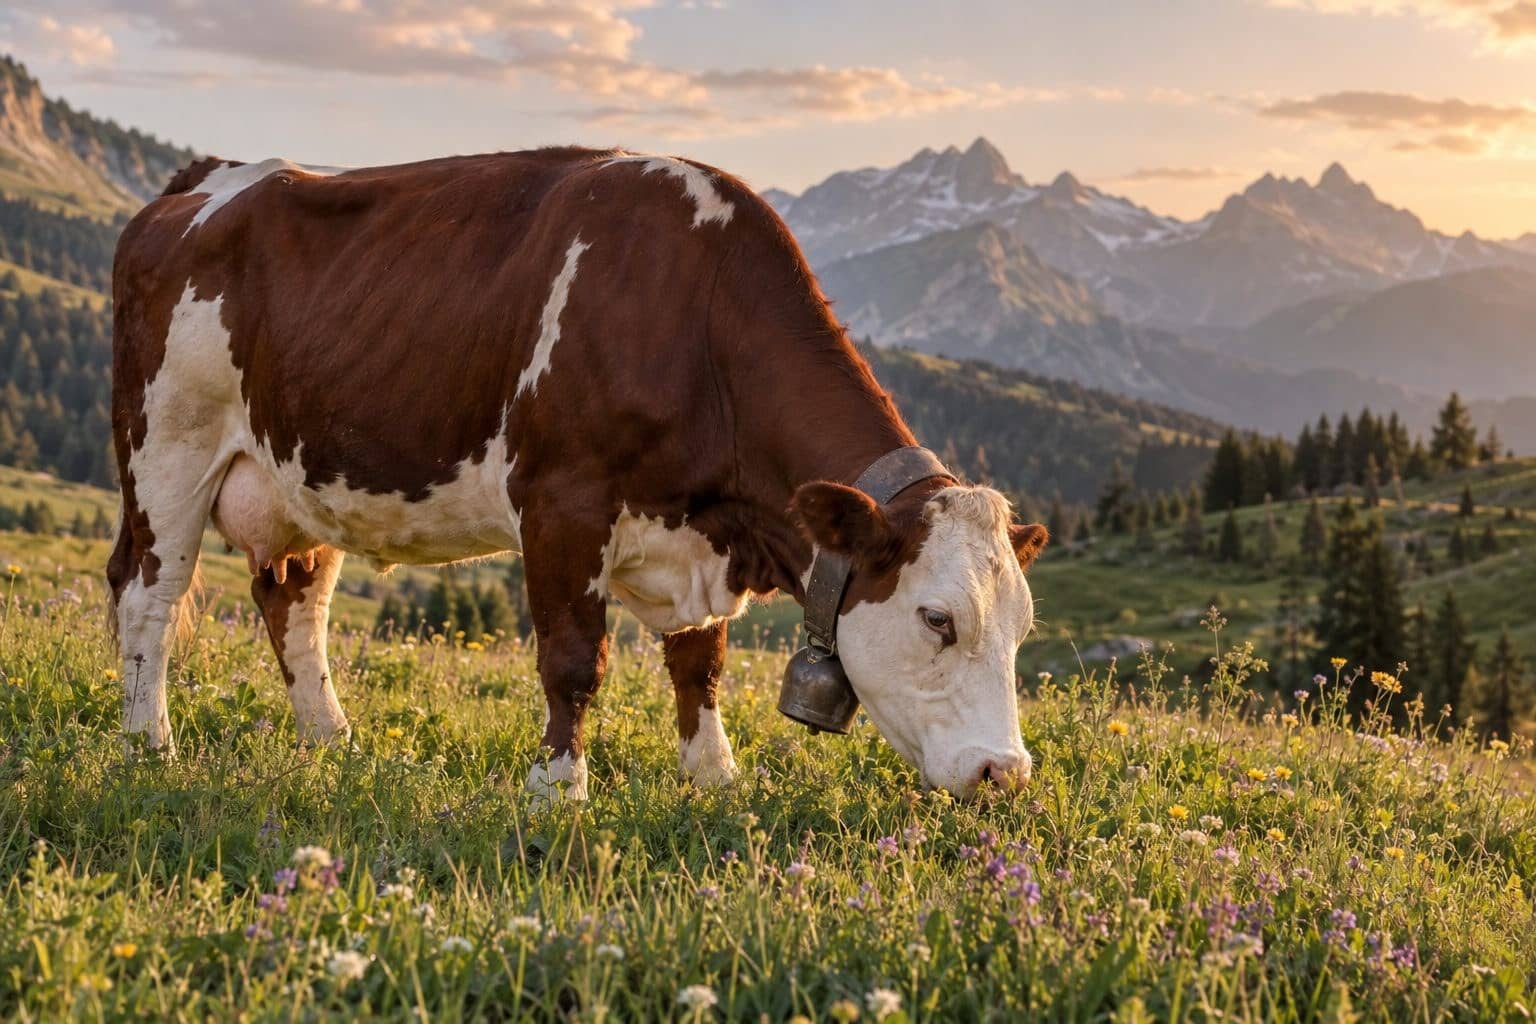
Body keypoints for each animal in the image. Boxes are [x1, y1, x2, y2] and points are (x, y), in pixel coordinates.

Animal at [107, 147, 1049, 799]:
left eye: (1021, 630)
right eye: (937, 619)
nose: (1005, 775)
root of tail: (210, 177)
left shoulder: (699, 540)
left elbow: (700, 663)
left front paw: (714, 780)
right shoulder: (562, 502)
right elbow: (572, 661)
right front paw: (559, 790)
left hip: (301, 475)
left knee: (294, 601)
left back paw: (331, 742)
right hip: (165, 448)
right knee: (147, 591)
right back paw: (149, 745)